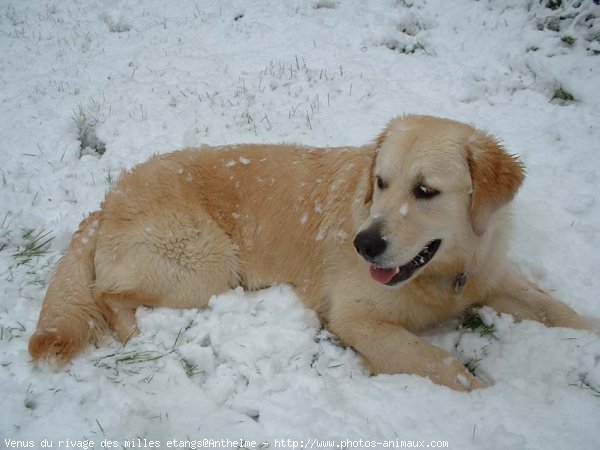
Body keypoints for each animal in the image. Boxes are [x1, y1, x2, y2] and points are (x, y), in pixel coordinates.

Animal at [29, 115, 596, 390]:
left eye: (425, 191)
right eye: (380, 182)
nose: (364, 244)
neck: (446, 270)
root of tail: (106, 199)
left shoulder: (492, 277)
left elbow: (557, 309)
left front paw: (586, 333)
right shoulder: (356, 318)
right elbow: (445, 366)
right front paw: (486, 394)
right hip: (207, 265)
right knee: (107, 292)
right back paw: (138, 333)